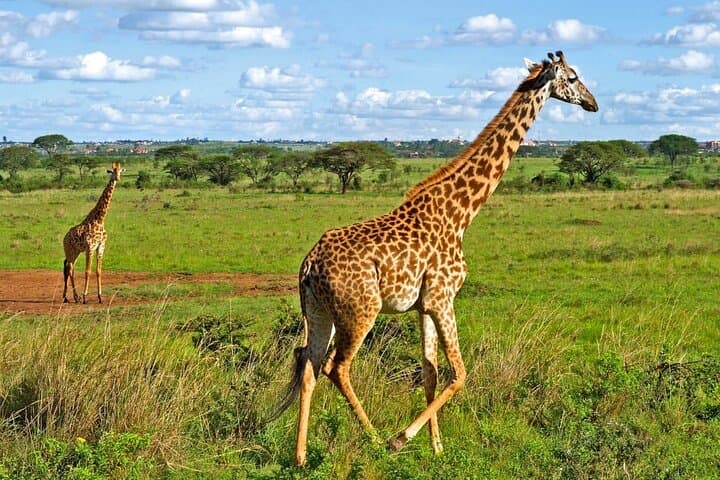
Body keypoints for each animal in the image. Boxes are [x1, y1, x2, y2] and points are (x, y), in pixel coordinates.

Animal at [62, 162, 124, 304]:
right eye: (112, 171)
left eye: (120, 171)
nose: (117, 178)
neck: (100, 220)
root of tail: (64, 237)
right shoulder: (90, 247)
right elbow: (88, 271)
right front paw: (85, 296)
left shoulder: (101, 246)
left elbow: (98, 271)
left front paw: (100, 297)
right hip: (69, 250)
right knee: (69, 269)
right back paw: (72, 297)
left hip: (76, 252)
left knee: (70, 268)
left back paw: (71, 297)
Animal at [274, 51, 598, 466]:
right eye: (572, 78)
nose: (593, 103)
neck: (461, 212)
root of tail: (309, 264)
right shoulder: (444, 297)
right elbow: (459, 374)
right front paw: (403, 439)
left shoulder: (425, 304)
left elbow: (430, 372)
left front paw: (437, 448)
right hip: (360, 311)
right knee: (336, 367)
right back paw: (376, 440)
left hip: (318, 312)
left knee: (309, 365)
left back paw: (299, 456)